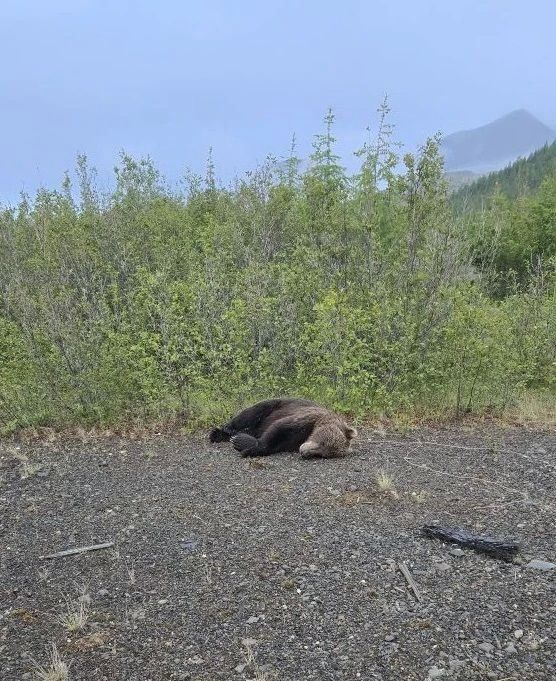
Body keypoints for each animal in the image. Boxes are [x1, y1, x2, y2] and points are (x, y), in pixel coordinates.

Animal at [209, 398, 357, 458]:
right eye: (323, 442)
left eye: (322, 455)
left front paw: (243, 443)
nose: (304, 452)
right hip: (277, 405)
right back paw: (220, 432)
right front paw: (243, 444)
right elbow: (279, 428)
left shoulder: (292, 442)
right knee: (251, 413)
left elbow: (275, 444)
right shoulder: (305, 419)